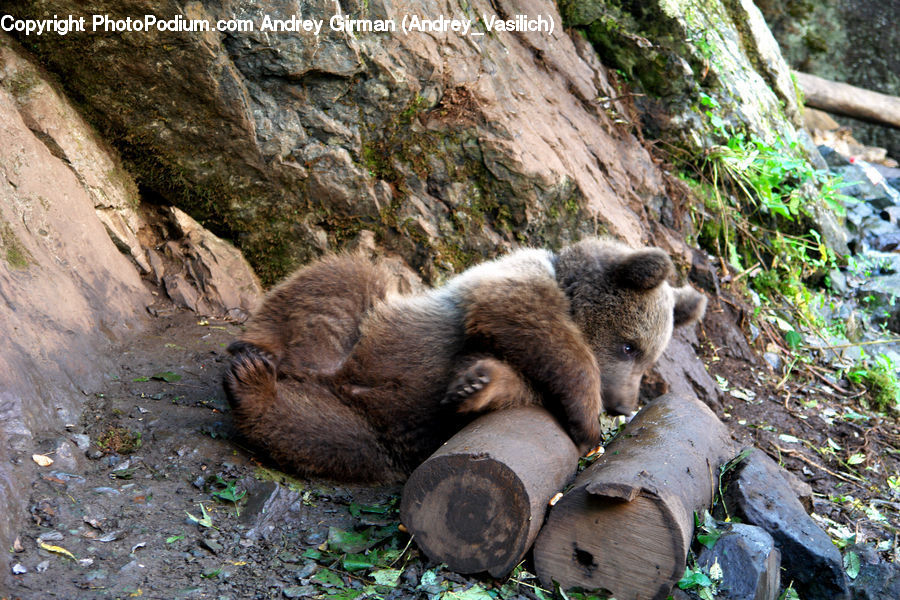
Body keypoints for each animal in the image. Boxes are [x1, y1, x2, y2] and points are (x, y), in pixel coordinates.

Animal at [224, 238, 707, 483]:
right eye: (630, 347)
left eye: (649, 360)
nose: (623, 404)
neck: (569, 289)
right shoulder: (514, 284)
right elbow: (525, 321)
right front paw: (587, 423)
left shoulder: (513, 368)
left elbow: (507, 382)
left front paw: (475, 386)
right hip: (375, 321)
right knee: (340, 280)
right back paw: (263, 353)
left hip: (370, 431)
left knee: (323, 435)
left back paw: (254, 390)